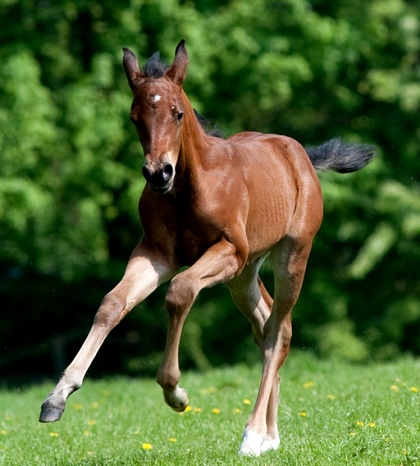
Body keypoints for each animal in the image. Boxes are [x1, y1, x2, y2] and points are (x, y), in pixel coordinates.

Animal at [40, 39, 374, 456]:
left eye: (178, 113)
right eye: (134, 118)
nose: (158, 173)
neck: (188, 189)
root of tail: (300, 155)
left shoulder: (227, 251)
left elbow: (180, 291)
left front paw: (175, 392)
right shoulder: (156, 254)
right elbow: (112, 303)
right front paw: (57, 397)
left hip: (291, 255)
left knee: (278, 333)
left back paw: (253, 435)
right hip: (244, 275)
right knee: (266, 326)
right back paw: (270, 436)